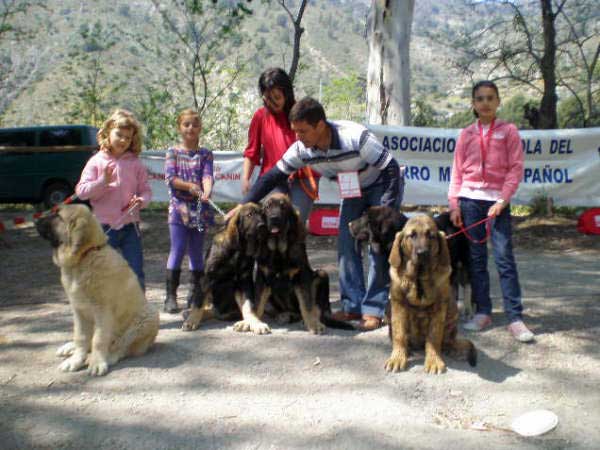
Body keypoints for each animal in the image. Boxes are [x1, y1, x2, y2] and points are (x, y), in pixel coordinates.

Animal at [386, 216, 476, 374]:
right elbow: (399, 334)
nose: (422, 253)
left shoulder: (439, 309)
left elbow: (434, 337)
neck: (419, 278)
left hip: (452, 311)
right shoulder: (398, 304)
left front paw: (434, 361)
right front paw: (397, 358)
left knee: (448, 340)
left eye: (431, 236)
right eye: (412, 235)